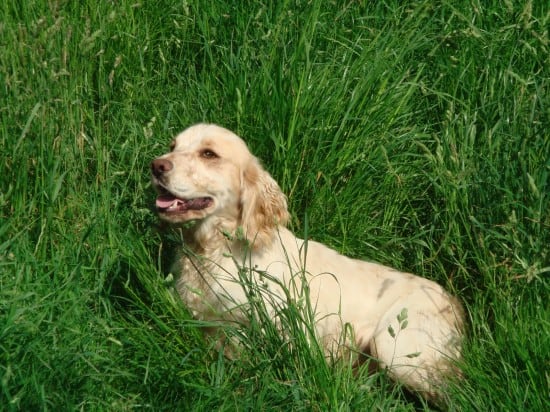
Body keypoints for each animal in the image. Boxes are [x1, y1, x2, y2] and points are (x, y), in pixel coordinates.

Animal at [151, 124, 466, 404]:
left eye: (209, 154)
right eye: (173, 146)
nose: (156, 166)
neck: (215, 250)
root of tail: (454, 303)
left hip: (396, 350)